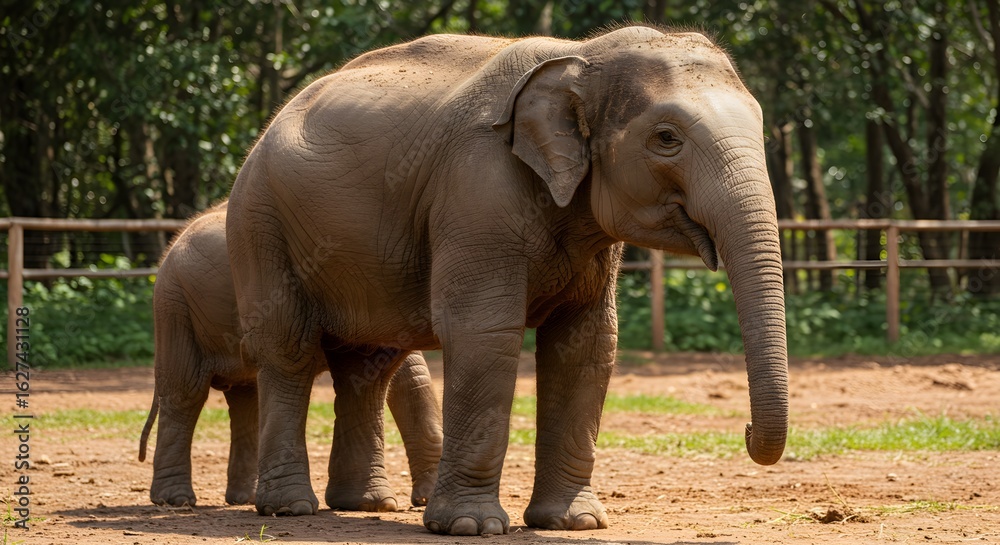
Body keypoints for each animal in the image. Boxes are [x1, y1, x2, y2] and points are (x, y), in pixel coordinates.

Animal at [138, 202, 443, 510]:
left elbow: (409, 376)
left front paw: (424, 498)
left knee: (245, 396)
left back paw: (245, 498)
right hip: (175, 309)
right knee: (185, 392)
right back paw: (175, 500)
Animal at [226, 24, 788, 535]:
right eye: (666, 138)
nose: (744, 428)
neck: (581, 54)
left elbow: (587, 342)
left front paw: (574, 523)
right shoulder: (476, 190)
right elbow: (484, 332)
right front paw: (469, 526)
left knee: (368, 366)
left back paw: (364, 505)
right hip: (260, 225)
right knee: (289, 352)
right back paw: (290, 509)